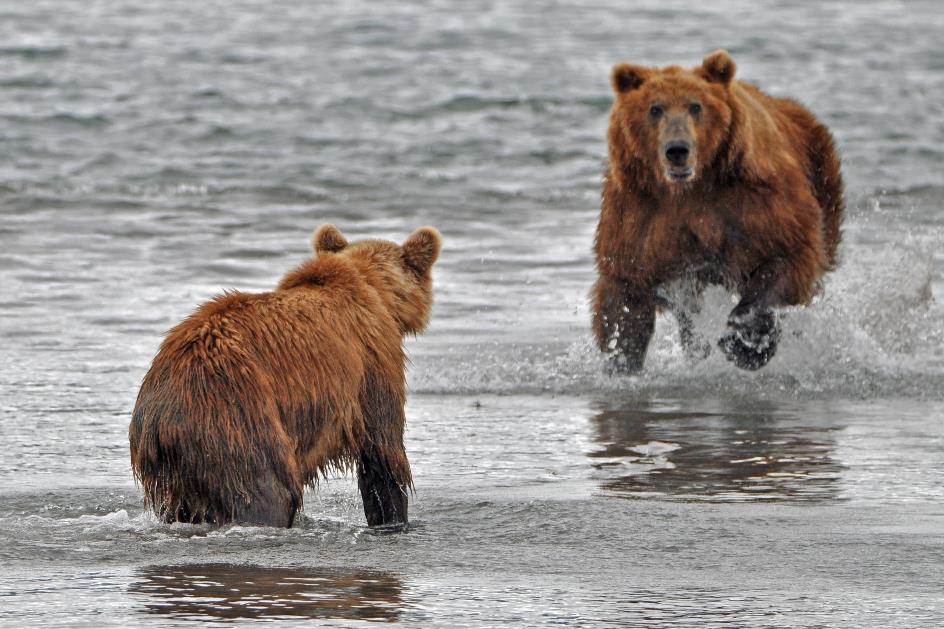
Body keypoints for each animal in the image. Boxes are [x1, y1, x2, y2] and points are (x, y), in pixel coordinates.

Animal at [129, 223, 442, 528]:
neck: (373, 287)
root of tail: (163, 415)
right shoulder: (373, 363)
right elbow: (382, 454)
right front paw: (393, 518)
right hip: (237, 419)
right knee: (270, 492)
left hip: (176, 471)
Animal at [592, 52, 844, 372]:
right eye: (655, 108)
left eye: (695, 106)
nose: (677, 149)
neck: (691, 187)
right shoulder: (640, 213)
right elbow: (625, 289)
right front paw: (621, 359)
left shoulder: (754, 200)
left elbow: (786, 255)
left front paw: (745, 342)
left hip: (822, 181)